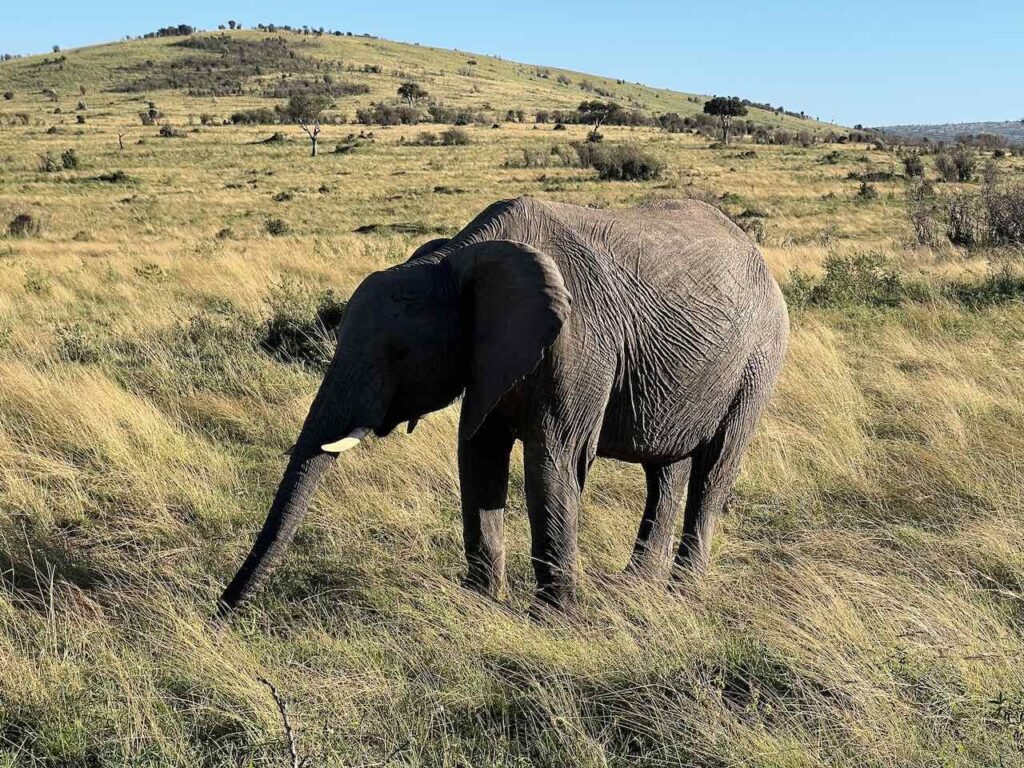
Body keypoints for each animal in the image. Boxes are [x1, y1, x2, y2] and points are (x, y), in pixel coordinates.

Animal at [218, 196, 788, 616]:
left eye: (399, 354)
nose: (222, 612)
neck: (458, 257)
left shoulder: (580, 343)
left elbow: (554, 460)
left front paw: (555, 620)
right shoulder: (487, 358)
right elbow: (478, 455)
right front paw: (479, 604)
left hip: (759, 358)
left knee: (714, 468)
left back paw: (681, 593)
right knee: (664, 467)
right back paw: (635, 588)